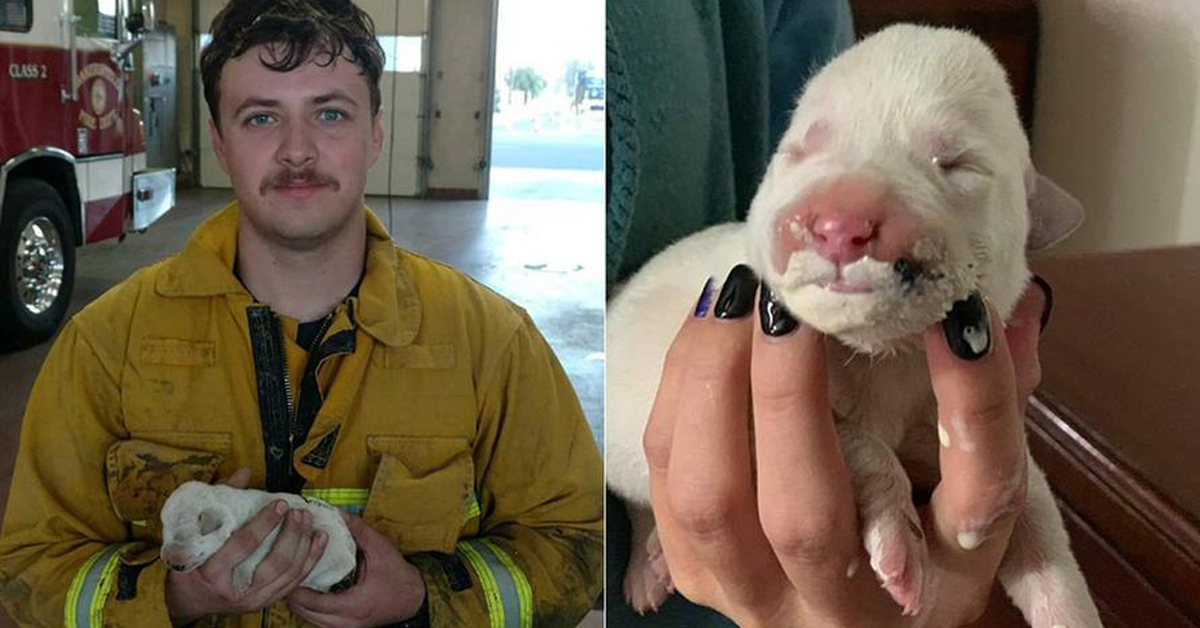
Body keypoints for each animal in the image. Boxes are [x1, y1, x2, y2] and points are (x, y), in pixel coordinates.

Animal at [159, 485, 355, 593]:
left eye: (183, 536)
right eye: (164, 530)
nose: (168, 562)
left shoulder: (270, 536)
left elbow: (250, 557)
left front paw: (240, 582)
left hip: (331, 572)